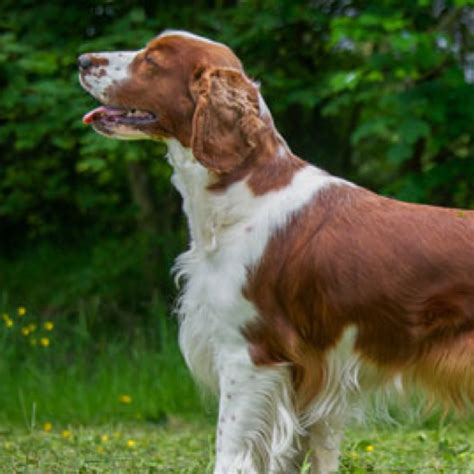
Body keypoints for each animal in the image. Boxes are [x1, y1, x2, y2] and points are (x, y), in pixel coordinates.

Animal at [79, 30, 474, 474]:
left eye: (152, 59)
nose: (82, 60)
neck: (241, 192)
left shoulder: (248, 355)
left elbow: (229, 449)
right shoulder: (307, 377)